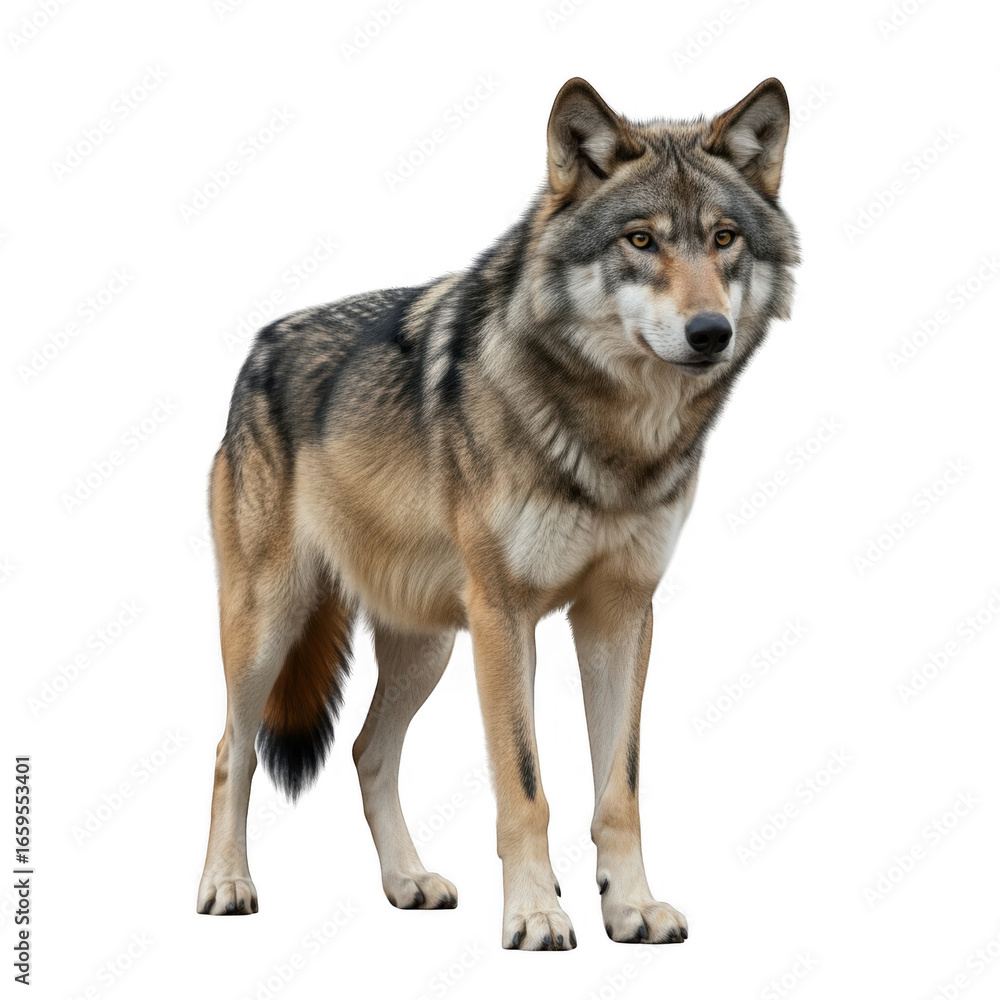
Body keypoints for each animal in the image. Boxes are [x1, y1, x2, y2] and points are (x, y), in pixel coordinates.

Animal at [197, 77, 800, 950]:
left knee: (368, 752)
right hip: (271, 627)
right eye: (641, 240)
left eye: (724, 238)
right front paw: (537, 914)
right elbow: (525, 785)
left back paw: (407, 881)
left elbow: (619, 789)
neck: (617, 437)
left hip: (430, 648)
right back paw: (225, 884)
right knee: (230, 750)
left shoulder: (620, 614)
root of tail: (261, 344)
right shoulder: (506, 614)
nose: (710, 332)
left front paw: (631, 905)